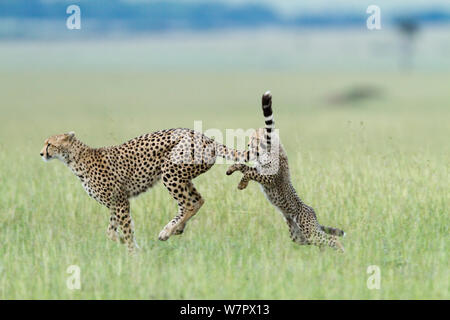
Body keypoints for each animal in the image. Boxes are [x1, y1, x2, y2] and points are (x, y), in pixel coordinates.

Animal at [40, 127, 248, 250]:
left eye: (49, 144)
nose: (41, 153)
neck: (75, 159)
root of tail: (206, 137)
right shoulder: (116, 203)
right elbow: (112, 230)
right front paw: (121, 242)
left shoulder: (120, 202)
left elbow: (125, 229)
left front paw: (133, 253)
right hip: (182, 175)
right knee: (197, 200)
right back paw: (176, 228)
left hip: (169, 171)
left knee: (189, 204)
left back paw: (167, 231)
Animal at [227, 92, 346, 252]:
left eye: (253, 138)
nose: (248, 145)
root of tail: (313, 212)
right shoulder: (259, 170)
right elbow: (245, 167)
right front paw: (231, 169)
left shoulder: (269, 178)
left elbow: (249, 173)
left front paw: (241, 184)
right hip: (299, 237)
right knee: (322, 241)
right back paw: (326, 253)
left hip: (308, 230)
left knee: (332, 238)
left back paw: (342, 252)